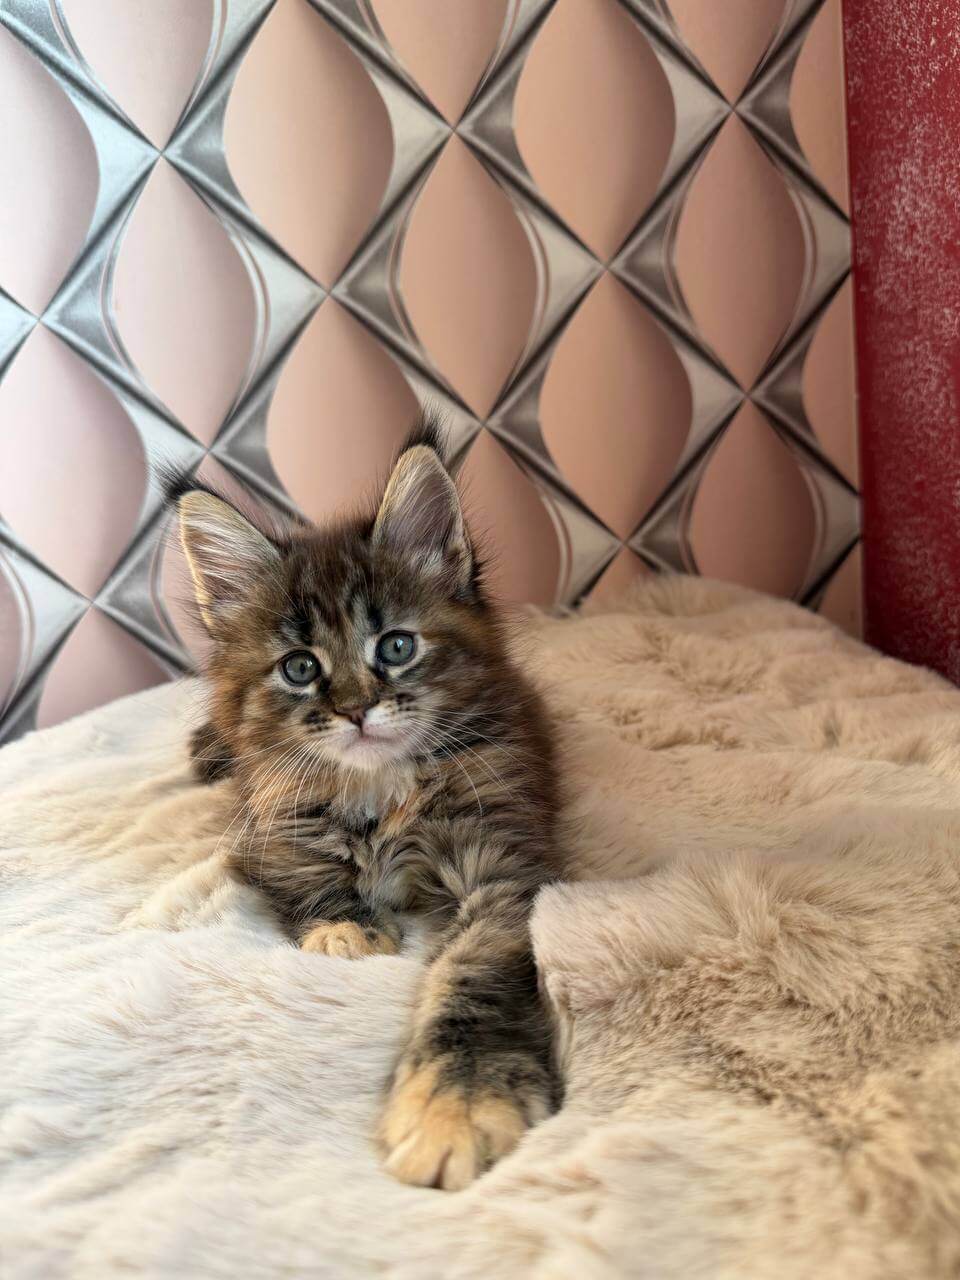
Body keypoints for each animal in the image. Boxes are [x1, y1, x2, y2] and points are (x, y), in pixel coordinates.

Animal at [171, 419, 562, 1190]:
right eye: (300, 668)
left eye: (397, 646)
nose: (355, 711)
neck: (379, 788)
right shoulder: (266, 817)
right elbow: (303, 871)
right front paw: (345, 926)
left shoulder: (500, 861)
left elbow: (475, 974)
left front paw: (458, 1105)